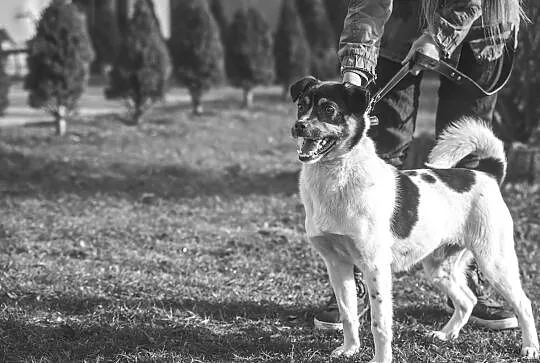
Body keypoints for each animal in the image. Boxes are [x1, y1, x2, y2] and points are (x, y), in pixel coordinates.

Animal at [292, 77, 540, 363]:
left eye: (329, 109)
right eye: (301, 106)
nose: (298, 126)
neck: (336, 176)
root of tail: (487, 174)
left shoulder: (375, 267)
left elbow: (379, 323)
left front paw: (381, 359)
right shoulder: (337, 264)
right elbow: (347, 313)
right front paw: (349, 349)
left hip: (494, 261)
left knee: (523, 303)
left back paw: (530, 347)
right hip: (439, 267)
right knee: (467, 300)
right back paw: (446, 334)